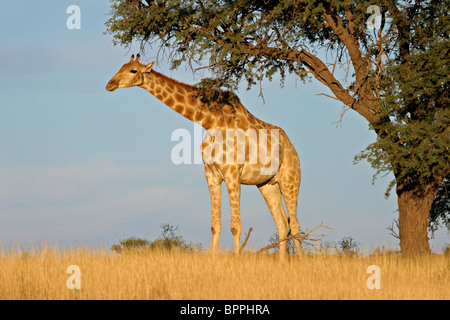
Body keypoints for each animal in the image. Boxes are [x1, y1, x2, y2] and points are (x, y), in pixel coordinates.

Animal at [106, 53, 302, 256]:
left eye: (133, 70)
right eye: (120, 67)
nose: (110, 84)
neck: (210, 122)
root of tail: (291, 145)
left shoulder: (232, 173)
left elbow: (235, 225)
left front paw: (237, 258)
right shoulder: (211, 174)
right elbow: (215, 225)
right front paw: (214, 258)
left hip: (290, 179)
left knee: (294, 224)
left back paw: (300, 258)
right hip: (267, 184)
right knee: (282, 222)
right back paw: (282, 260)